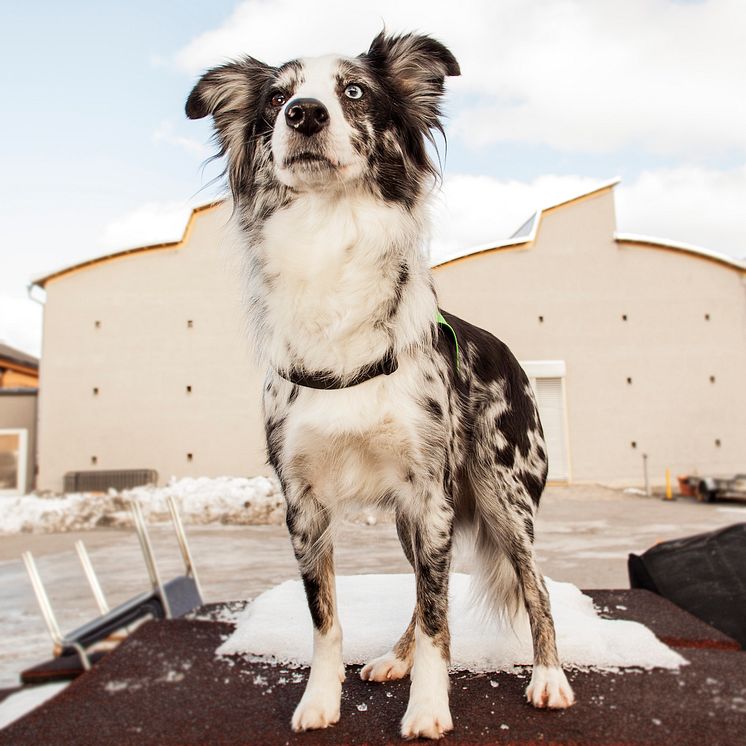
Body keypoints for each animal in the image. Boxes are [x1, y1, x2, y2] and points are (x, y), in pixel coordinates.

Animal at [187, 30, 576, 740]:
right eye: (276, 98)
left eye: (355, 91)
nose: (304, 115)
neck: (330, 246)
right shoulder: (306, 504)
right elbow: (328, 618)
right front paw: (321, 701)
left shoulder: (431, 496)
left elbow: (439, 620)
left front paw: (428, 709)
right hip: (412, 518)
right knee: (425, 591)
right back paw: (395, 658)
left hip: (506, 499)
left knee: (531, 585)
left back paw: (549, 678)